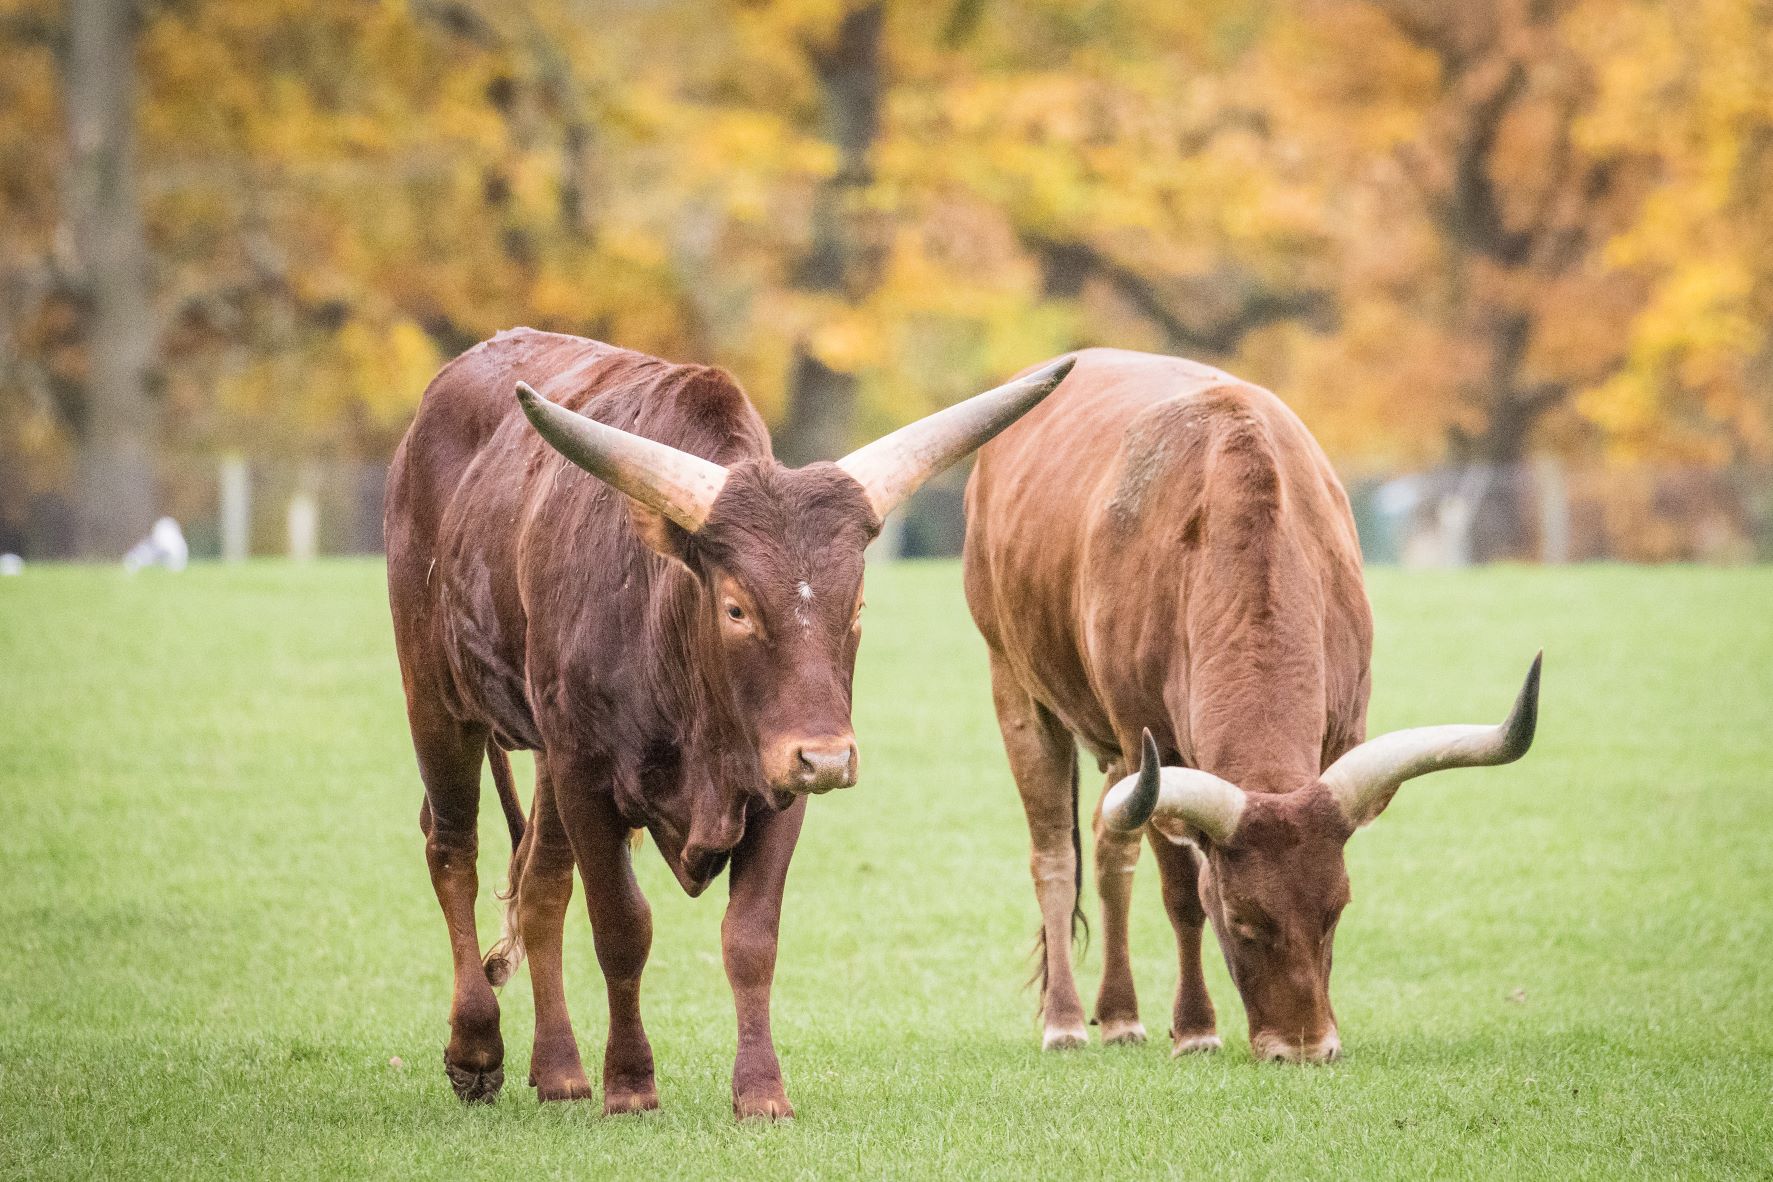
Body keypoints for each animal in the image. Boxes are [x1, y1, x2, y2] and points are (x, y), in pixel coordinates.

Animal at [388, 327, 1070, 1112]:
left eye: (858, 604)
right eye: (737, 607)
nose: (830, 758)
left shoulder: (774, 785)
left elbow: (750, 938)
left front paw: (761, 1091)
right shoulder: (587, 774)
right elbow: (621, 927)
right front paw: (631, 1084)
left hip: (546, 753)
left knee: (540, 882)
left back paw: (558, 1071)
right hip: (435, 699)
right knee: (453, 850)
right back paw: (476, 1048)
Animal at [957, 349, 1538, 1063]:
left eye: (1337, 910)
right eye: (1240, 920)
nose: (1306, 1048)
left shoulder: (1333, 735)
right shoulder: (1155, 744)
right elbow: (1181, 894)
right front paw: (1196, 1029)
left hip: (1117, 752)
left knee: (1110, 846)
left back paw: (1119, 1017)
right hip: (1017, 685)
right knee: (1054, 858)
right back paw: (1065, 1022)